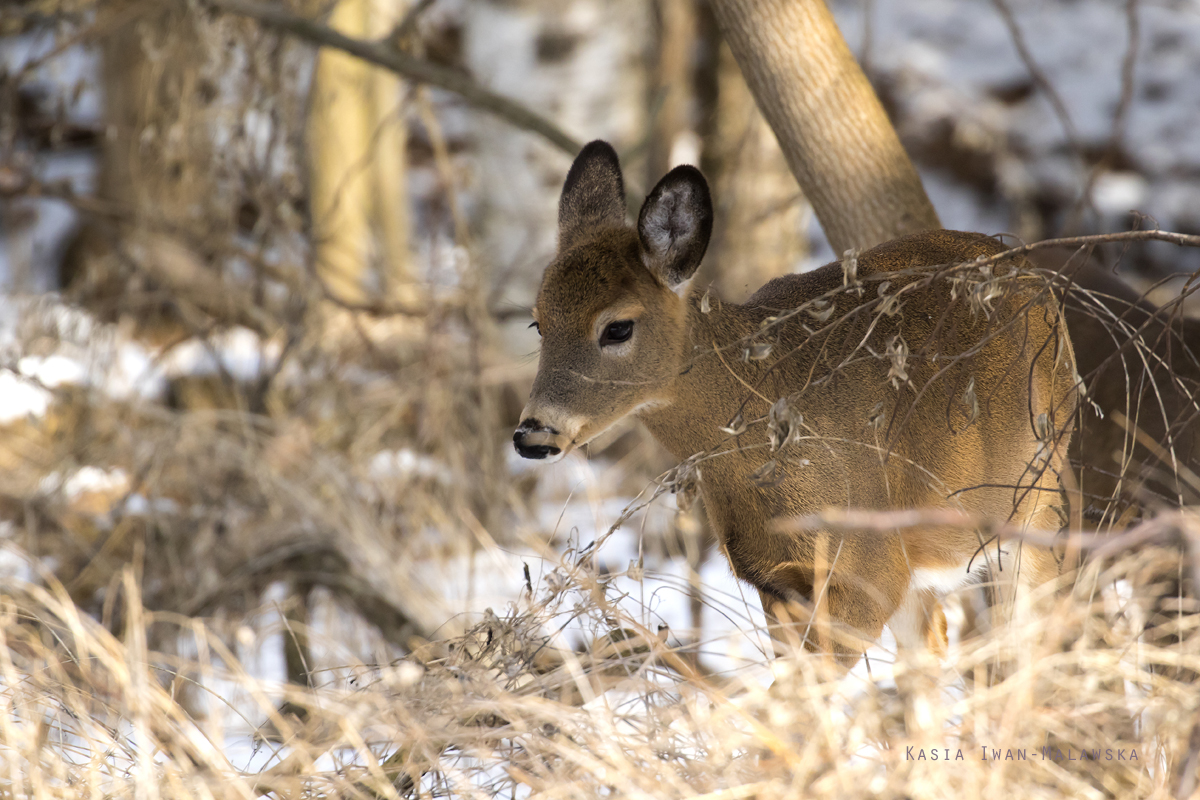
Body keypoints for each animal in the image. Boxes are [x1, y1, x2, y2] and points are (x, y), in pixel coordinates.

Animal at [516, 140, 1080, 666]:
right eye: (538, 322)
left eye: (617, 328)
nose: (532, 433)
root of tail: (1028, 270)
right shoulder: (775, 582)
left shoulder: (865, 569)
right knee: (936, 642)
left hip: (1038, 496)